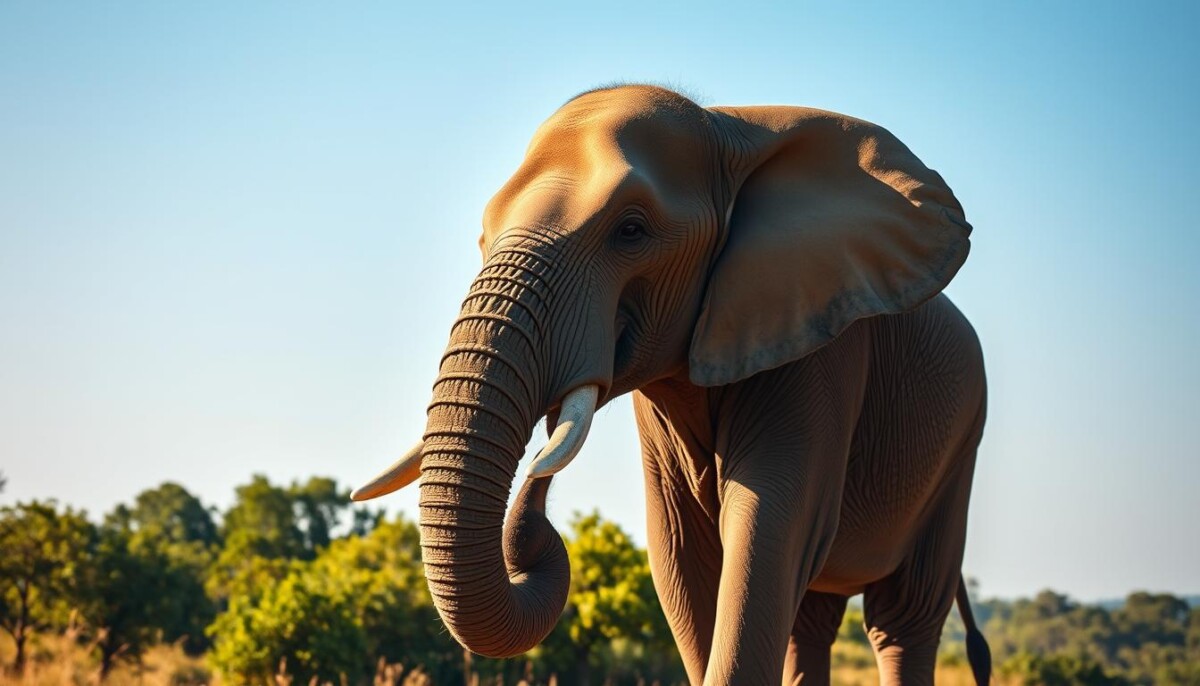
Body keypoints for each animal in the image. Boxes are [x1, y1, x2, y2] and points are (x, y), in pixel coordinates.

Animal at [353, 84, 992, 685]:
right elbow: (682, 556)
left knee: (902, 620)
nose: (536, 492)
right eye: (483, 238)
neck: (729, 129)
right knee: (812, 621)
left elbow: (767, 527)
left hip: (960, 450)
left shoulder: (820, 351)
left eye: (631, 231)